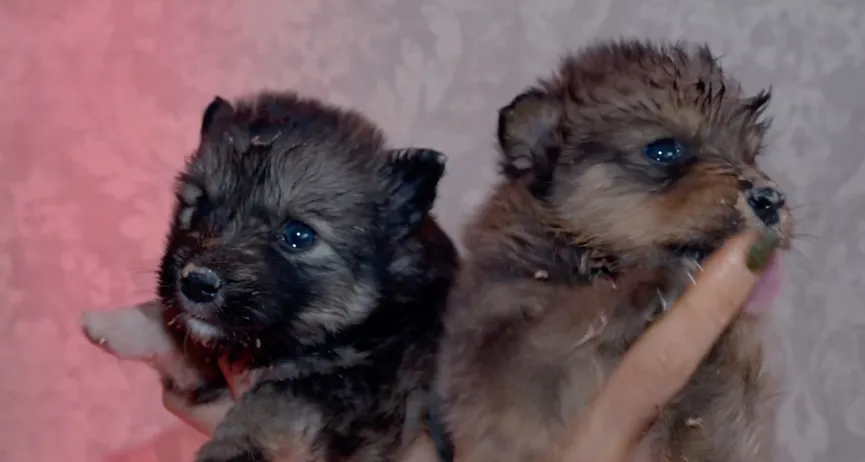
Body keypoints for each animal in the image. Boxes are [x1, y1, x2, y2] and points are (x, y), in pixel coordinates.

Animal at [436, 38, 792, 462]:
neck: (587, 252)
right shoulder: (502, 342)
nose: (771, 200)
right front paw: (649, 283)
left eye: (751, 156)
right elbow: (566, 319)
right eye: (664, 150)